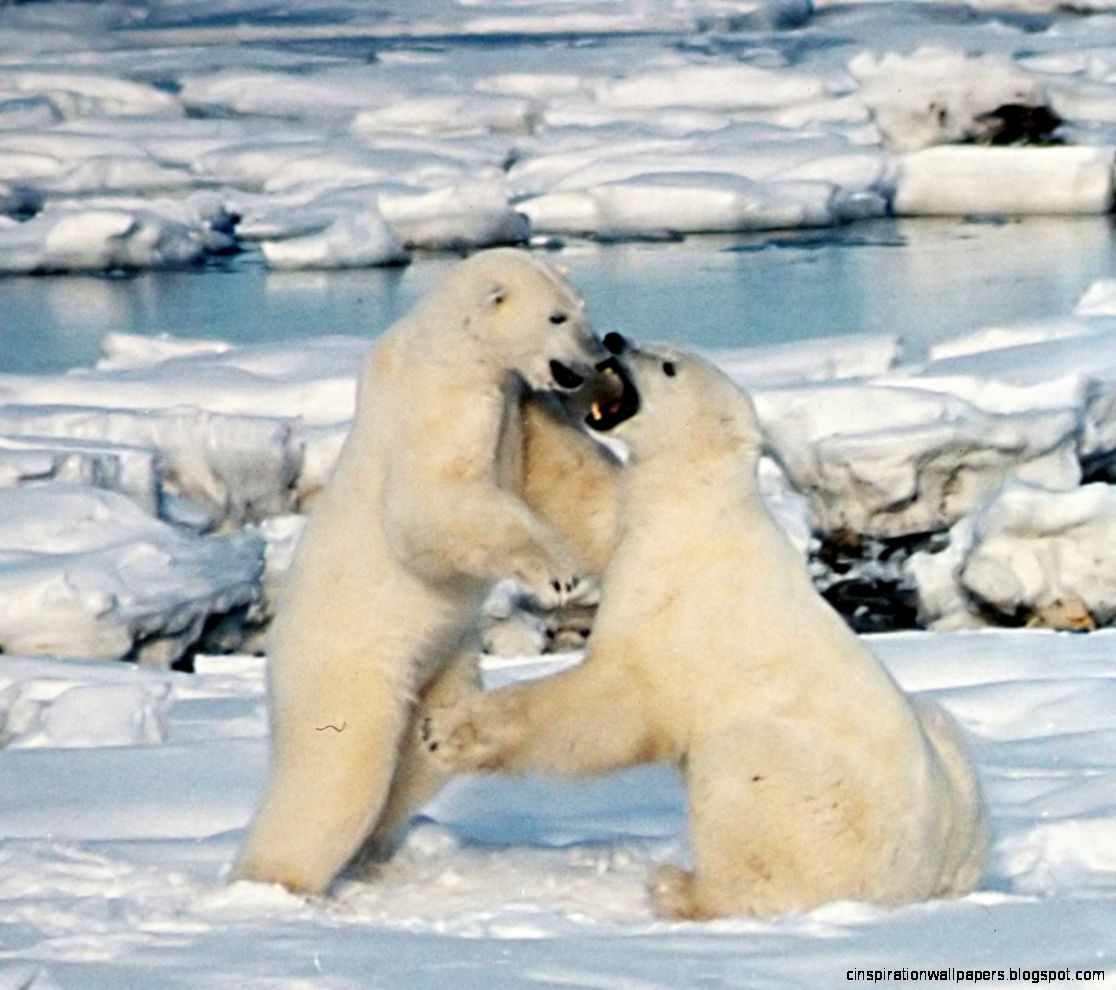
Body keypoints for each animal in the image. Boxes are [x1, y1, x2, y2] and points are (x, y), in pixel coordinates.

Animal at [232, 248, 636, 895]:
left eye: (581, 309)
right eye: (556, 316)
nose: (598, 356)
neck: (454, 347)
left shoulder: (512, 403)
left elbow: (552, 466)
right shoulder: (441, 402)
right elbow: (433, 505)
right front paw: (558, 575)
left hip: (441, 665)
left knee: (419, 761)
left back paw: (374, 851)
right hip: (348, 669)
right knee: (338, 770)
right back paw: (277, 880)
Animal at [420, 343, 988, 920]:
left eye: (669, 365)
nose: (616, 339)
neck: (699, 508)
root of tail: (915, 885)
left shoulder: (679, 602)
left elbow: (612, 703)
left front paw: (443, 730)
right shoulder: (640, 524)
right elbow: (591, 499)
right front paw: (532, 396)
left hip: (811, 797)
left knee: (743, 780)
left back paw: (679, 887)